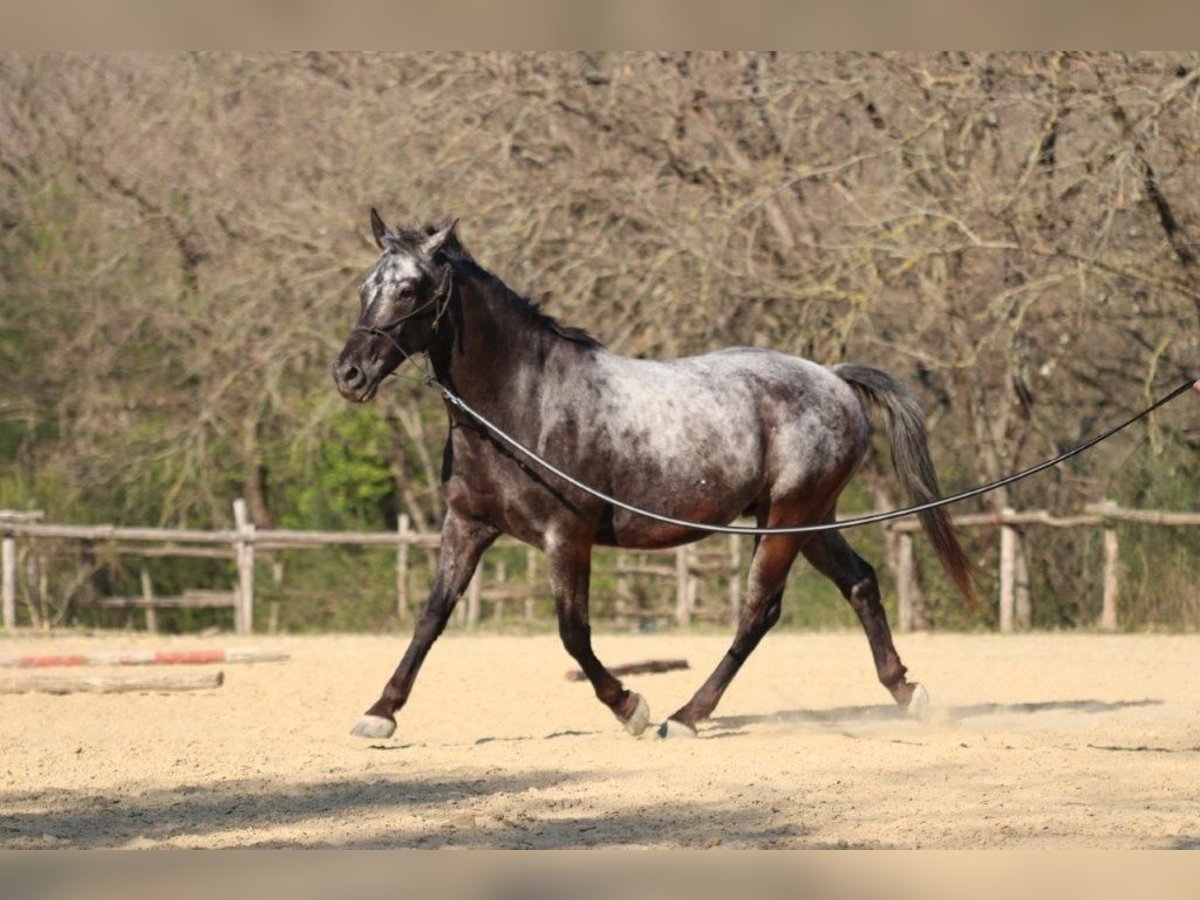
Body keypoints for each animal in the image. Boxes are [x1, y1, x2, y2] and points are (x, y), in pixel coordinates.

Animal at [333, 210, 969, 739]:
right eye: (365, 287)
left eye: (409, 289)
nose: (349, 374)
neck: (522, 404)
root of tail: (834, 378)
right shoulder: (466, 525)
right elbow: (431, 616)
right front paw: (380, 713)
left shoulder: (567, 537)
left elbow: (573, 632)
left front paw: (630, 706)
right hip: (808, 519)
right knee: (859, 582)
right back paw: (906, 691)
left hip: (787, 520)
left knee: (759, 611)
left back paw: (686, 715)